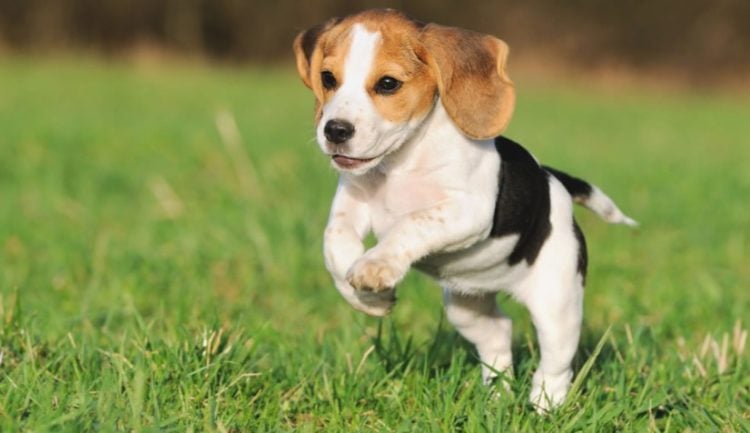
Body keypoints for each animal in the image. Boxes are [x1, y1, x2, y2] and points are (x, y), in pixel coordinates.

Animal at [294, 8, 636, 410]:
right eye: (328, 78)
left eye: (388, 84)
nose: (335, 130)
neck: (400, 161)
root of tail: (554, 179)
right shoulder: (352, 205)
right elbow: (335, 244)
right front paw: (369, 299)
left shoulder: (467, 212)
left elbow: (411, 223)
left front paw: (376, 266)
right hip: (466, 308)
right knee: (499, 335)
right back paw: (496, 398)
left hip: (558, 305)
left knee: (556, 365)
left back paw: (543, 407)